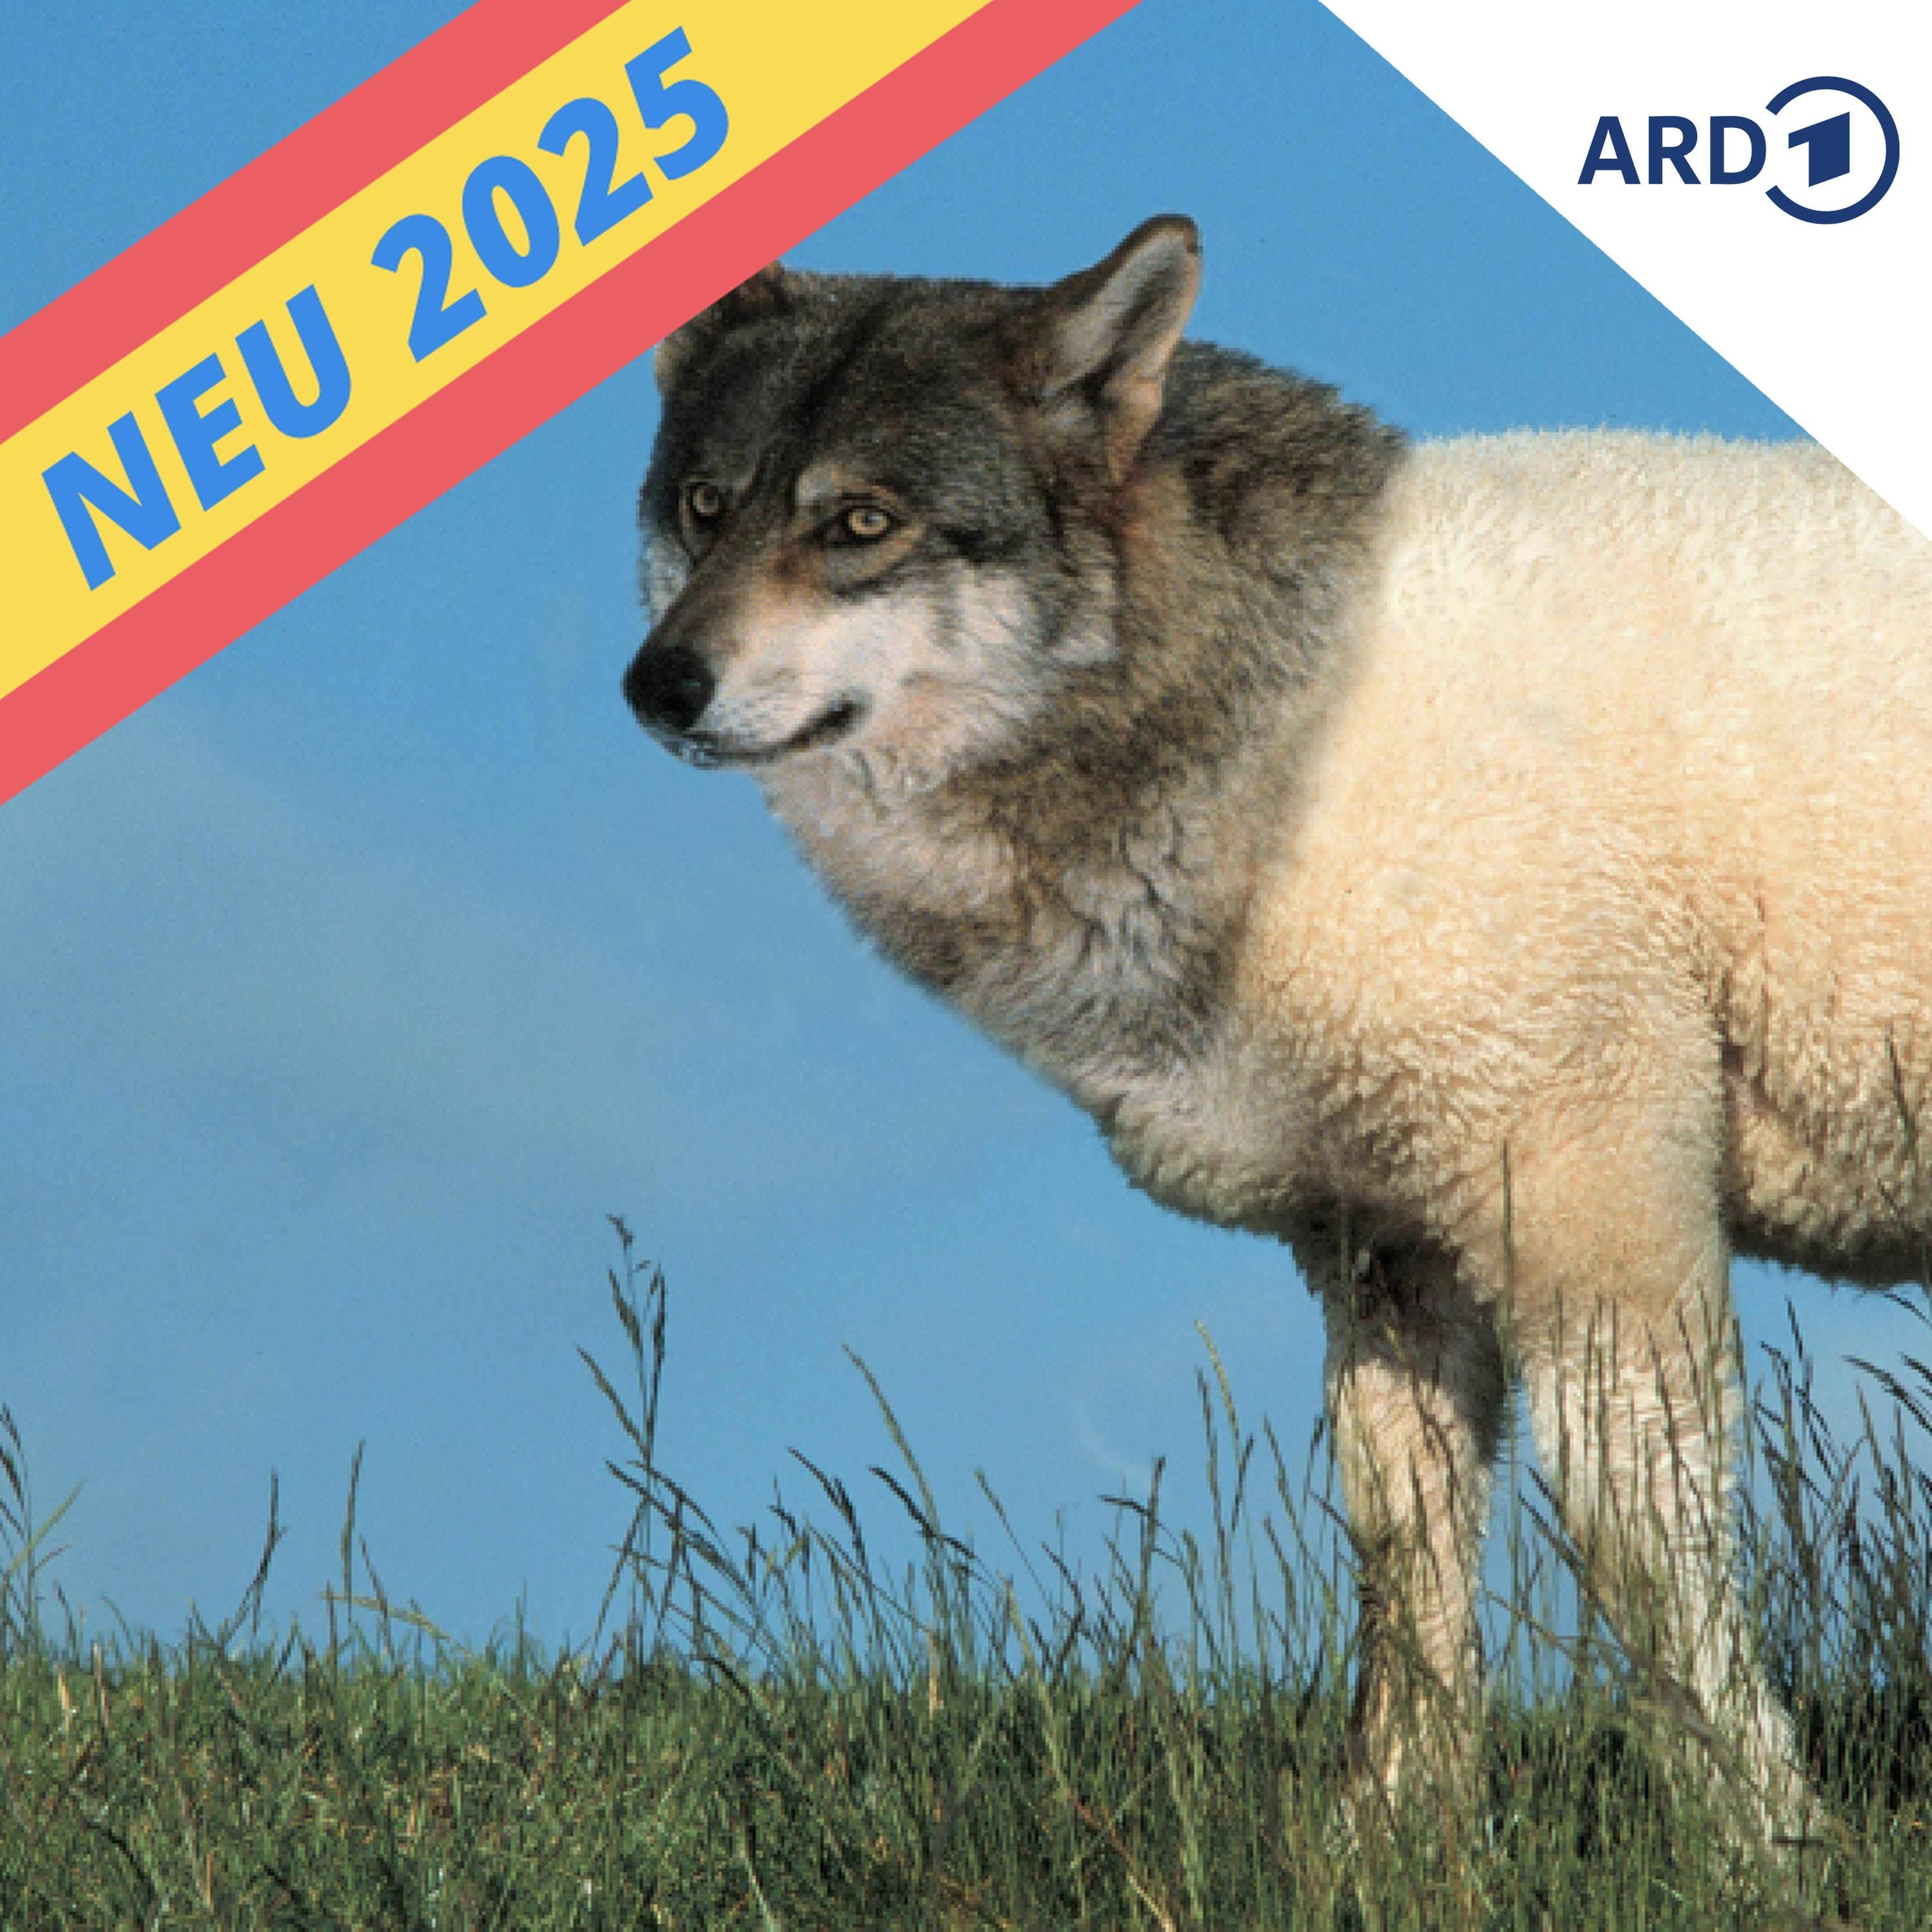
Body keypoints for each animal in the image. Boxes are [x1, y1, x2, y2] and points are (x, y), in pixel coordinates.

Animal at [623, 216, 1932, 1844]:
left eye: (860, 521)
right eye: (704, 506)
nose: (656, 685)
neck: (1285, 727)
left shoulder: (1596, 1197)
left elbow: (1641, 1557)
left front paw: (1764, 1844)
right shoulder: (1387, 1249)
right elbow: (1404, 1565)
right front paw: (1397, 1845)